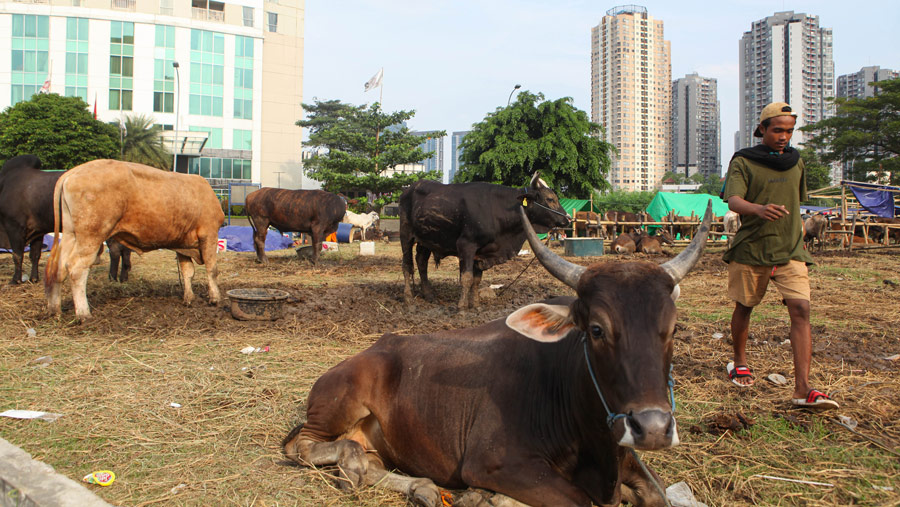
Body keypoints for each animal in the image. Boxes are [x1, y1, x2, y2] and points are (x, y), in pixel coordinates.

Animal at [44, 161, 224, 320]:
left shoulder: (182, 244)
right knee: (76, 269)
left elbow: (187, 273)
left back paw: (55, 310)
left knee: (59, 268)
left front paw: (188, 298)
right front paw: (215, 298)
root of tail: (72, 172)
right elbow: (212, 269)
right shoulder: (209, 234)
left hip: (70, 234)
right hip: (91, 236)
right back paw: (83, 313)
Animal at [284, 202, 712, 507]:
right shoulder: (495, 463)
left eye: (673, 329)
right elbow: (581, 502)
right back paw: (354, 462)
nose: (652, 428)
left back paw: (420, 487)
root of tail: (373, 348)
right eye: (596, 330)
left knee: (369, 461)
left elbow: (656, 491)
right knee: (302, 445)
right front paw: (485, 497)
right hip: (338, 407)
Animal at [400, 174, 568, 310]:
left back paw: (428, 294)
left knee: (421, 262)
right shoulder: (466, 245)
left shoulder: (481, 252)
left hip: (426, 239)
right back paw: (408, 298)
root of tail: (410, 188)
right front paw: (462, 307)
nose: (566, 219)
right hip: (406, 235)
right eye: (550, 199)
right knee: (407, 265)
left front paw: (476, 305)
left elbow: (476, 280)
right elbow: (466, 278)